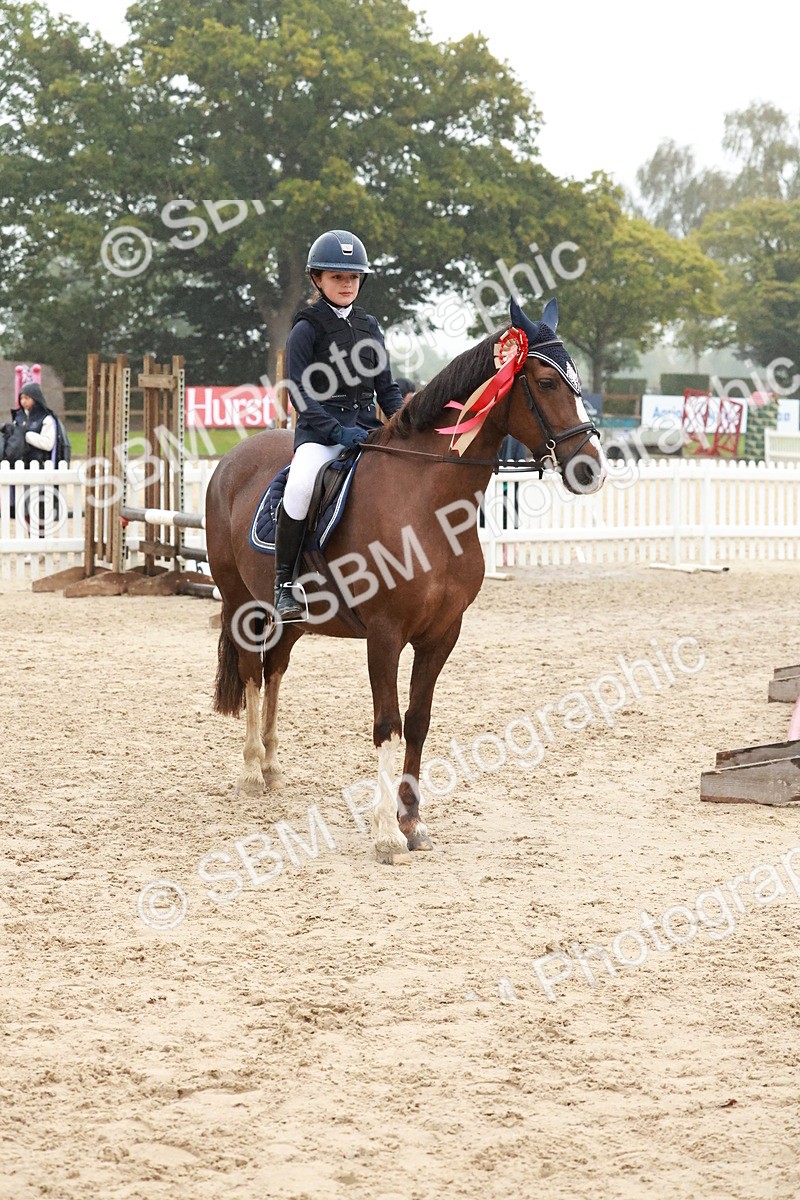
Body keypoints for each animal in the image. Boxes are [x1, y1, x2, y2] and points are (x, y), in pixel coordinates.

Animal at [205, 296, 607, 862]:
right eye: (548, 383)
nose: (591, 469)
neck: (428, 500)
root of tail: (232, 460)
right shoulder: (385, 634)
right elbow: (386, 724)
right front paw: (385, 834)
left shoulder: (441, 634)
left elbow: (417, 721)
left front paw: (413, 820)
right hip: (243, 602)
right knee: (249, 672)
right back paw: (247, 773)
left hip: (294, 619)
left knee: (275, 669)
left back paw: (271, 767)